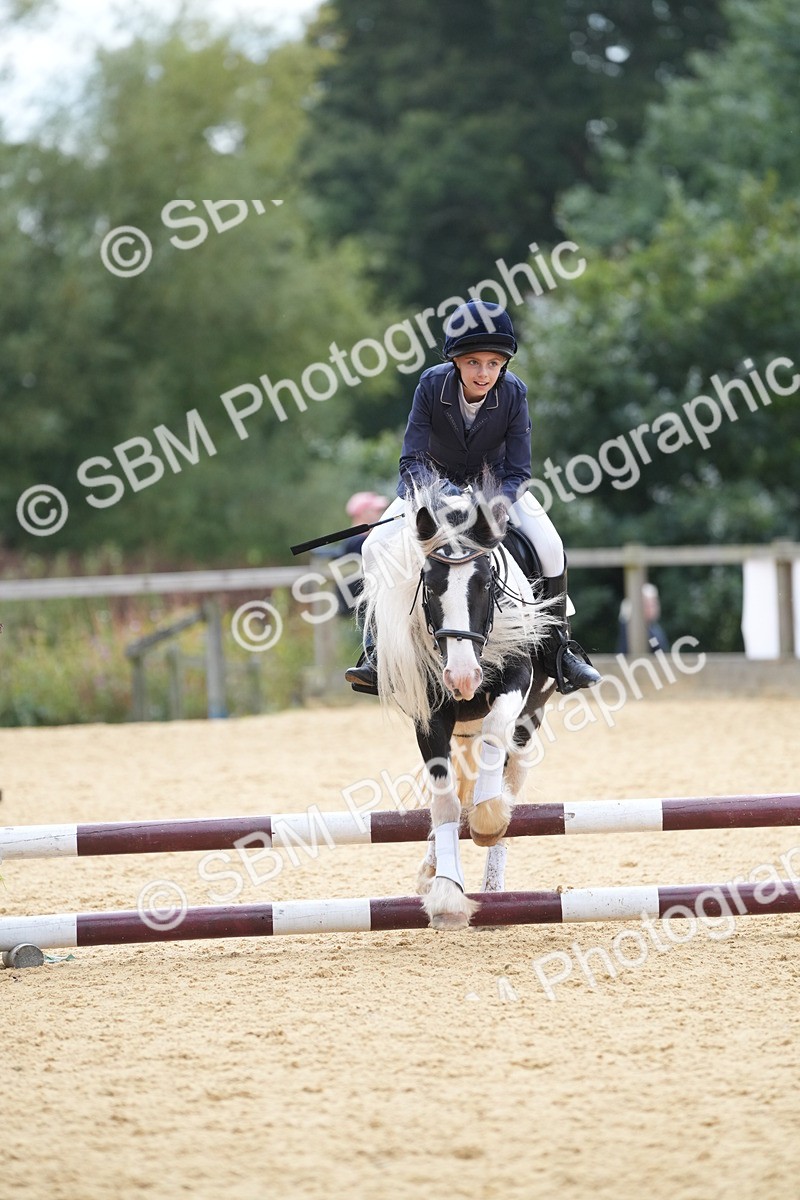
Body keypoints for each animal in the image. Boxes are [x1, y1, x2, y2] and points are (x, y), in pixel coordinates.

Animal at [358, 473, 558, 929]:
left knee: (508, 783)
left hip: (528, 728)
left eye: (485, 582)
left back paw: (495, 888)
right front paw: (447, 893)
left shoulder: (517, 681)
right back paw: (434, 868)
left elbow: (496, 732)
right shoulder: (430, 715)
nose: (463, 678)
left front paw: (488, 819)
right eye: (430, 586)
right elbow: (445, 801)